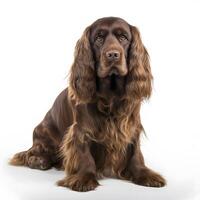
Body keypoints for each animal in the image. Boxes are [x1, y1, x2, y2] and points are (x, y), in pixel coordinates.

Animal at [9, 17, 166, 192]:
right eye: (98, 38)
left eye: (123, 37)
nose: (113, 55)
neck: (111, 94)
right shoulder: (81, 128)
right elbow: (83, 153)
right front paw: (84, 177)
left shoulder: (132, 125)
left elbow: (135, 152)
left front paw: (143, 174)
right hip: (44, 131)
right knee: (33, 151)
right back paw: (39, 160)